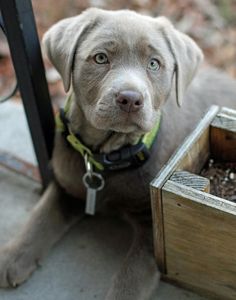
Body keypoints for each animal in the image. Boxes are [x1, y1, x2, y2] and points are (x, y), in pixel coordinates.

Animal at [0, 8, 236, 300]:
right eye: (100, 58)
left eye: (154, 64)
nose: (130, 99)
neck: (107, 156)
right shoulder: (67, 183)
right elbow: (41, 215)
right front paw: (12, 256)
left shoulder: (154, 227)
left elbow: (130, 280)